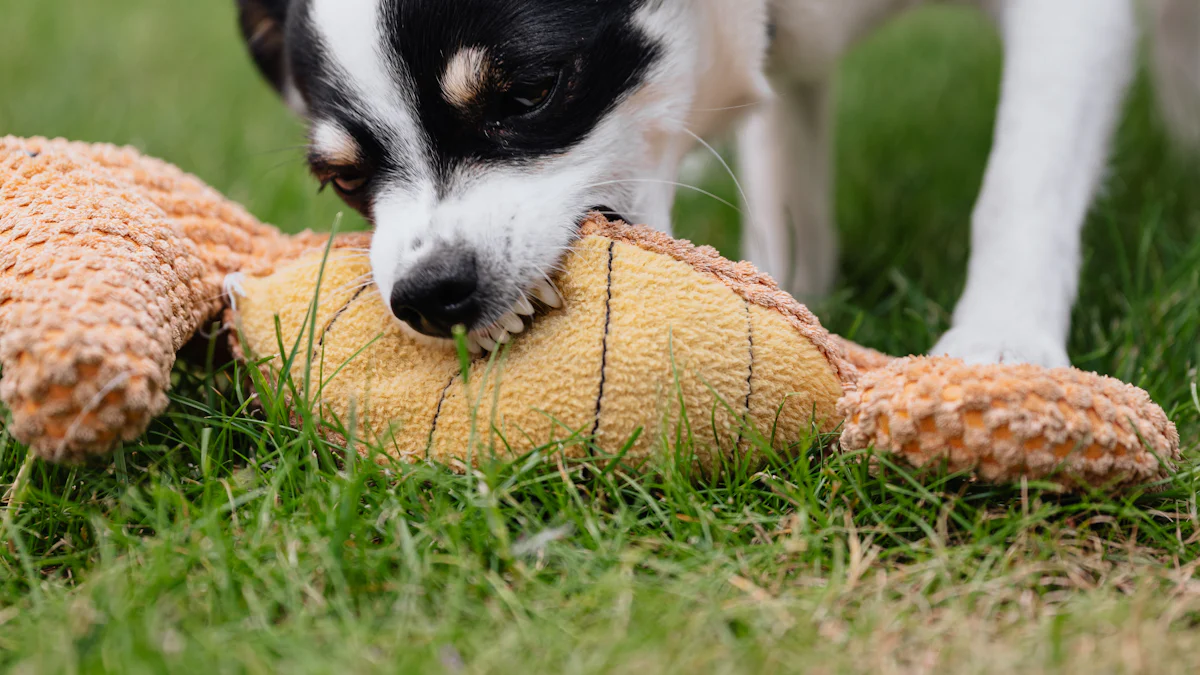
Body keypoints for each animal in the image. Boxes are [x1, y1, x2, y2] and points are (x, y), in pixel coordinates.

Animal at [234, 0, 1200, 362]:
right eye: (343, 181)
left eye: (531, 91)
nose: (428, 292)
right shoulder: (782, 54)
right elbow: (786, 191)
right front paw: (790, 292)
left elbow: (1022, 181)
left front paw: (1004, 342)